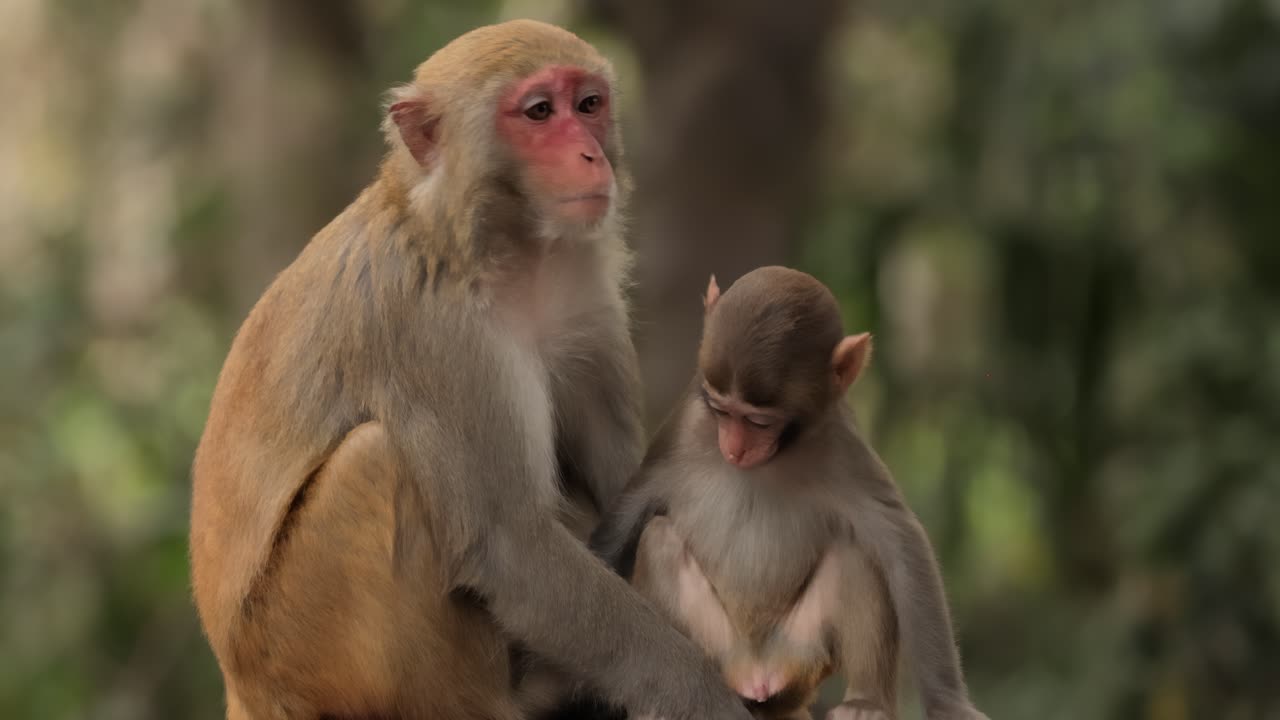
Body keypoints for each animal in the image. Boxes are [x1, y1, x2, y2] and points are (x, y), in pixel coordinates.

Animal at [188, 20, 753, 720]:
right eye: (538, 112)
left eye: (588, 104)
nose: (590, 156)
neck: (506, 252)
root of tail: (240, 684)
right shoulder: (429, 328)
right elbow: (509, 544)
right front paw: (702, 694)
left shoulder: (585, 298)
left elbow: (633, 488)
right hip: (298, 645)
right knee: (373, 460)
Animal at [590, 267, 990, 720]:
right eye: (720, 409)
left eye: (760, 421)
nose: (734, 448)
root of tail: (756, 671)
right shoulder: (685, 426)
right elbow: (634, 506)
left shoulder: (841, 446)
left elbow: (901, 542)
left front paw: (949, 703)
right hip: (721, 646)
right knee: (659, 540)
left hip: (799, 655)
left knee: (856, 556)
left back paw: (865, 701)